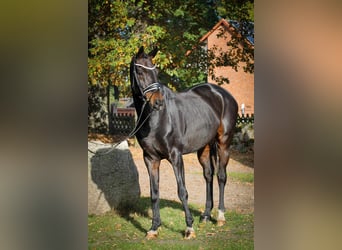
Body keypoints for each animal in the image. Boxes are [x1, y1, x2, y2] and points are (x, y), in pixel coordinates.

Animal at [130, 46, 236, 239]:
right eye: (140, 71)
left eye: (156, 72)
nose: (158, 102)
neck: (155, 119)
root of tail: (222, 94)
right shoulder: (150, 159)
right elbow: (154, 193)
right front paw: (153, 228)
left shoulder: (175, 156)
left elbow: (182, 191)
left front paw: (189, 228)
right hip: (204, 148)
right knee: (208, 176)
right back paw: (206, 215)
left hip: (224, 143)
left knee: (221, 176)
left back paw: (220, 216)